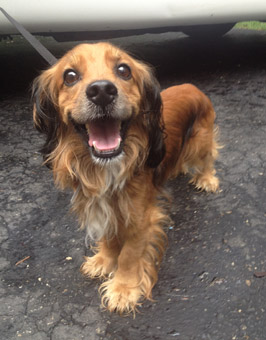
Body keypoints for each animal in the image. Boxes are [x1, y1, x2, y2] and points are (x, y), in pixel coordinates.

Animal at [32, 41, 219, 314]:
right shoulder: (105, 207)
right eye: (70, 76)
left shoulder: (141, 217)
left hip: (201, 141)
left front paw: (124, 289)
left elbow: (129, 254)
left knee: (207, 158)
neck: (107, 169)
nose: (101, 91)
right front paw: (104, 261)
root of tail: (192, 86)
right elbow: (109, 239)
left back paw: (207, 179)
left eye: (124, 70)